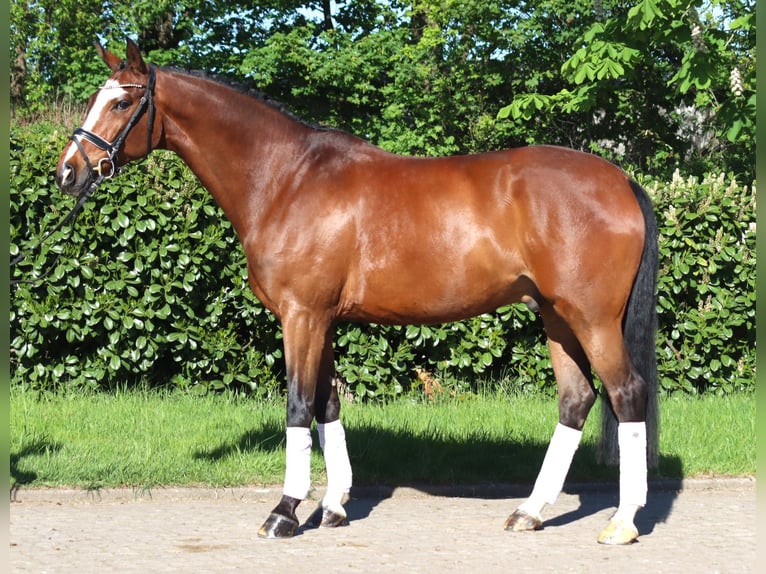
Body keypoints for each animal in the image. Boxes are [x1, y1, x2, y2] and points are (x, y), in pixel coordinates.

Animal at [56, 39, 658, 545]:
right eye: (95, 99)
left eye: (121, 103)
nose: (68, 172)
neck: (286, 179)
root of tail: (621, 180)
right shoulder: (320, 319)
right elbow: (328, 404)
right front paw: (333, 506)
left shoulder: (301, 316)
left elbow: (299, 405)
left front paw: (284, 512)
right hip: (556, 316)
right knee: (576, 400)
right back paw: (529, 512)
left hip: (592, 319)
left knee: (626, 393)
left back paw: (623, 522)